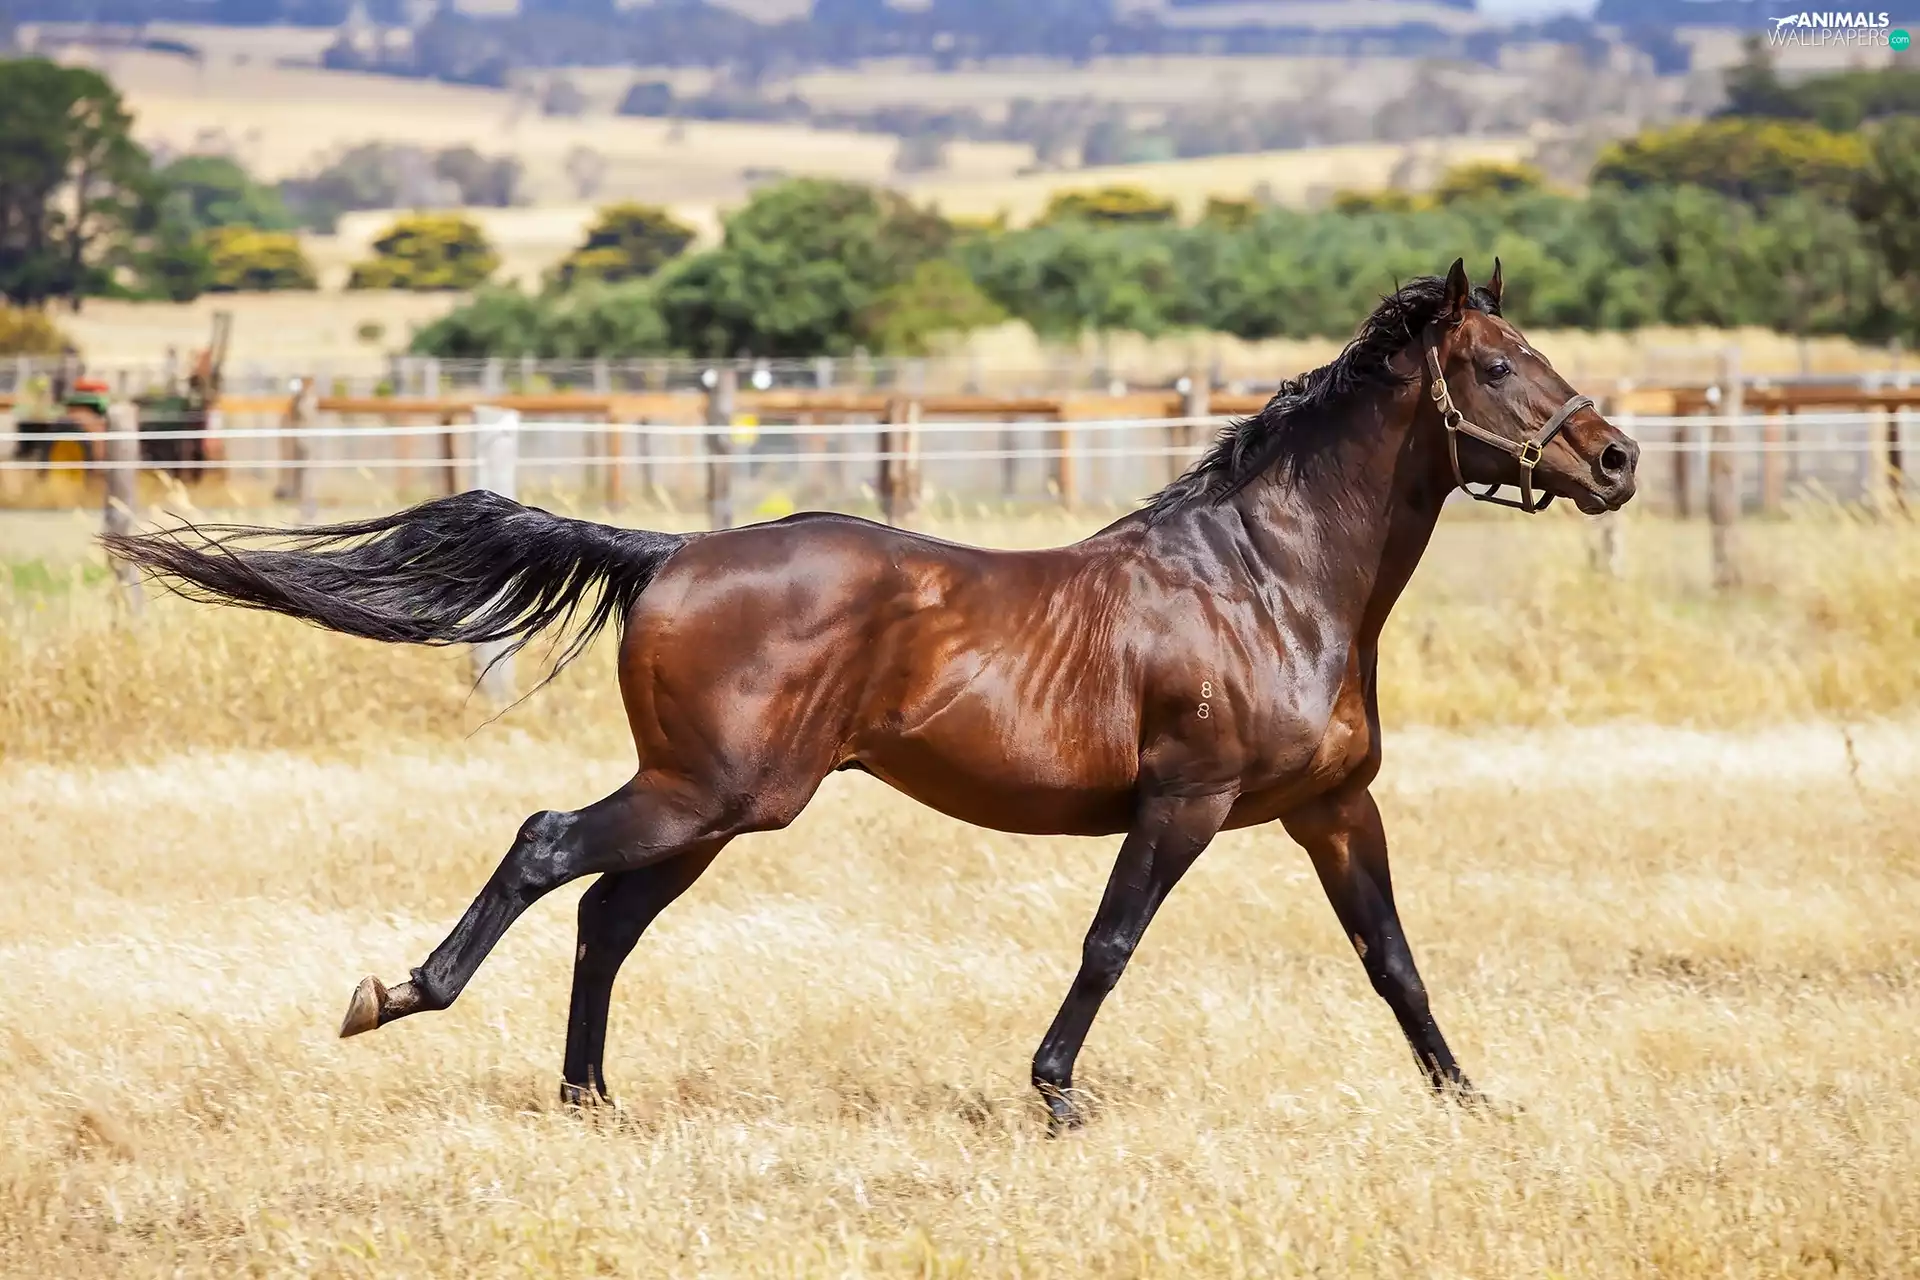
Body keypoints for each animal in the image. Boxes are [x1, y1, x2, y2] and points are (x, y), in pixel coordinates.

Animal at [104, 260, 1638, 1127]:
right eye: (1496, 365)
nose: (1617, 458)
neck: (1268, 578)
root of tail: (673, 553)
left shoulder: (1332, 809)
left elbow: (1392, 958)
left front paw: (1468, 1099)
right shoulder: (1185, 802)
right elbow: (1110, 944)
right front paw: (1055, 1095)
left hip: (715, 809)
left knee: (606, 913)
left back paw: (590, 1100)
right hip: (713, 793)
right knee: (547, 847)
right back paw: (398, 997)